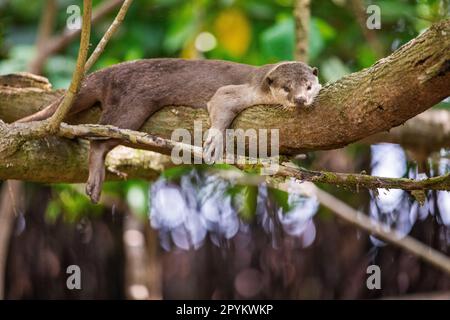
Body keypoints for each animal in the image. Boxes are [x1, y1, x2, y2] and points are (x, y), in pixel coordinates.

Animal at [16, 58, 320, 202]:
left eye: (308, 85)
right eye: (286, 88)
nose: (300, 100)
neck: (260, 79)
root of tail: (108, 71)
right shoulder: (240, 90)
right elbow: (220, 101)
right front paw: (213, 142)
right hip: (130, 108)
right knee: (99, 141)